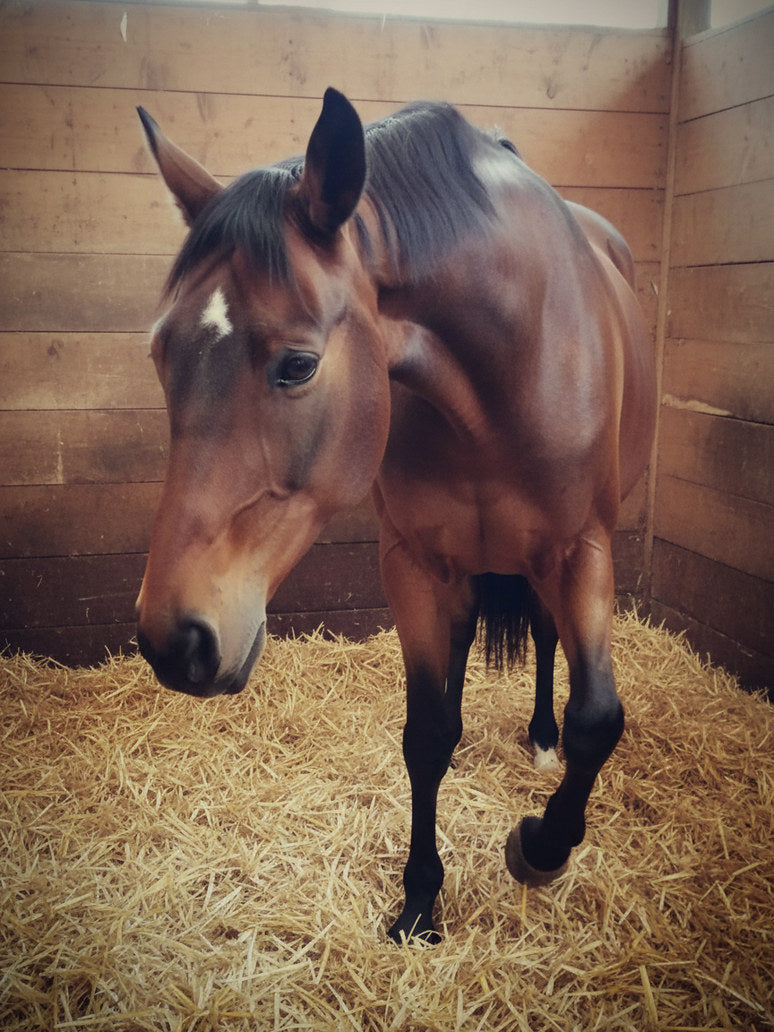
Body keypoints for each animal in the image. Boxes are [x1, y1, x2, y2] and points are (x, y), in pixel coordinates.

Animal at [135, 88, 656, 944]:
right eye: (160, 352)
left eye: (299, 365)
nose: (173, 640)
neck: (506, 359)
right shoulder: (413, 561)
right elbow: (426, 735)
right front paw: (419, 901)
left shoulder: (582, 551)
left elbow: (597, 719)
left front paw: (541, 848)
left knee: (547, 641)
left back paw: (541, 740)